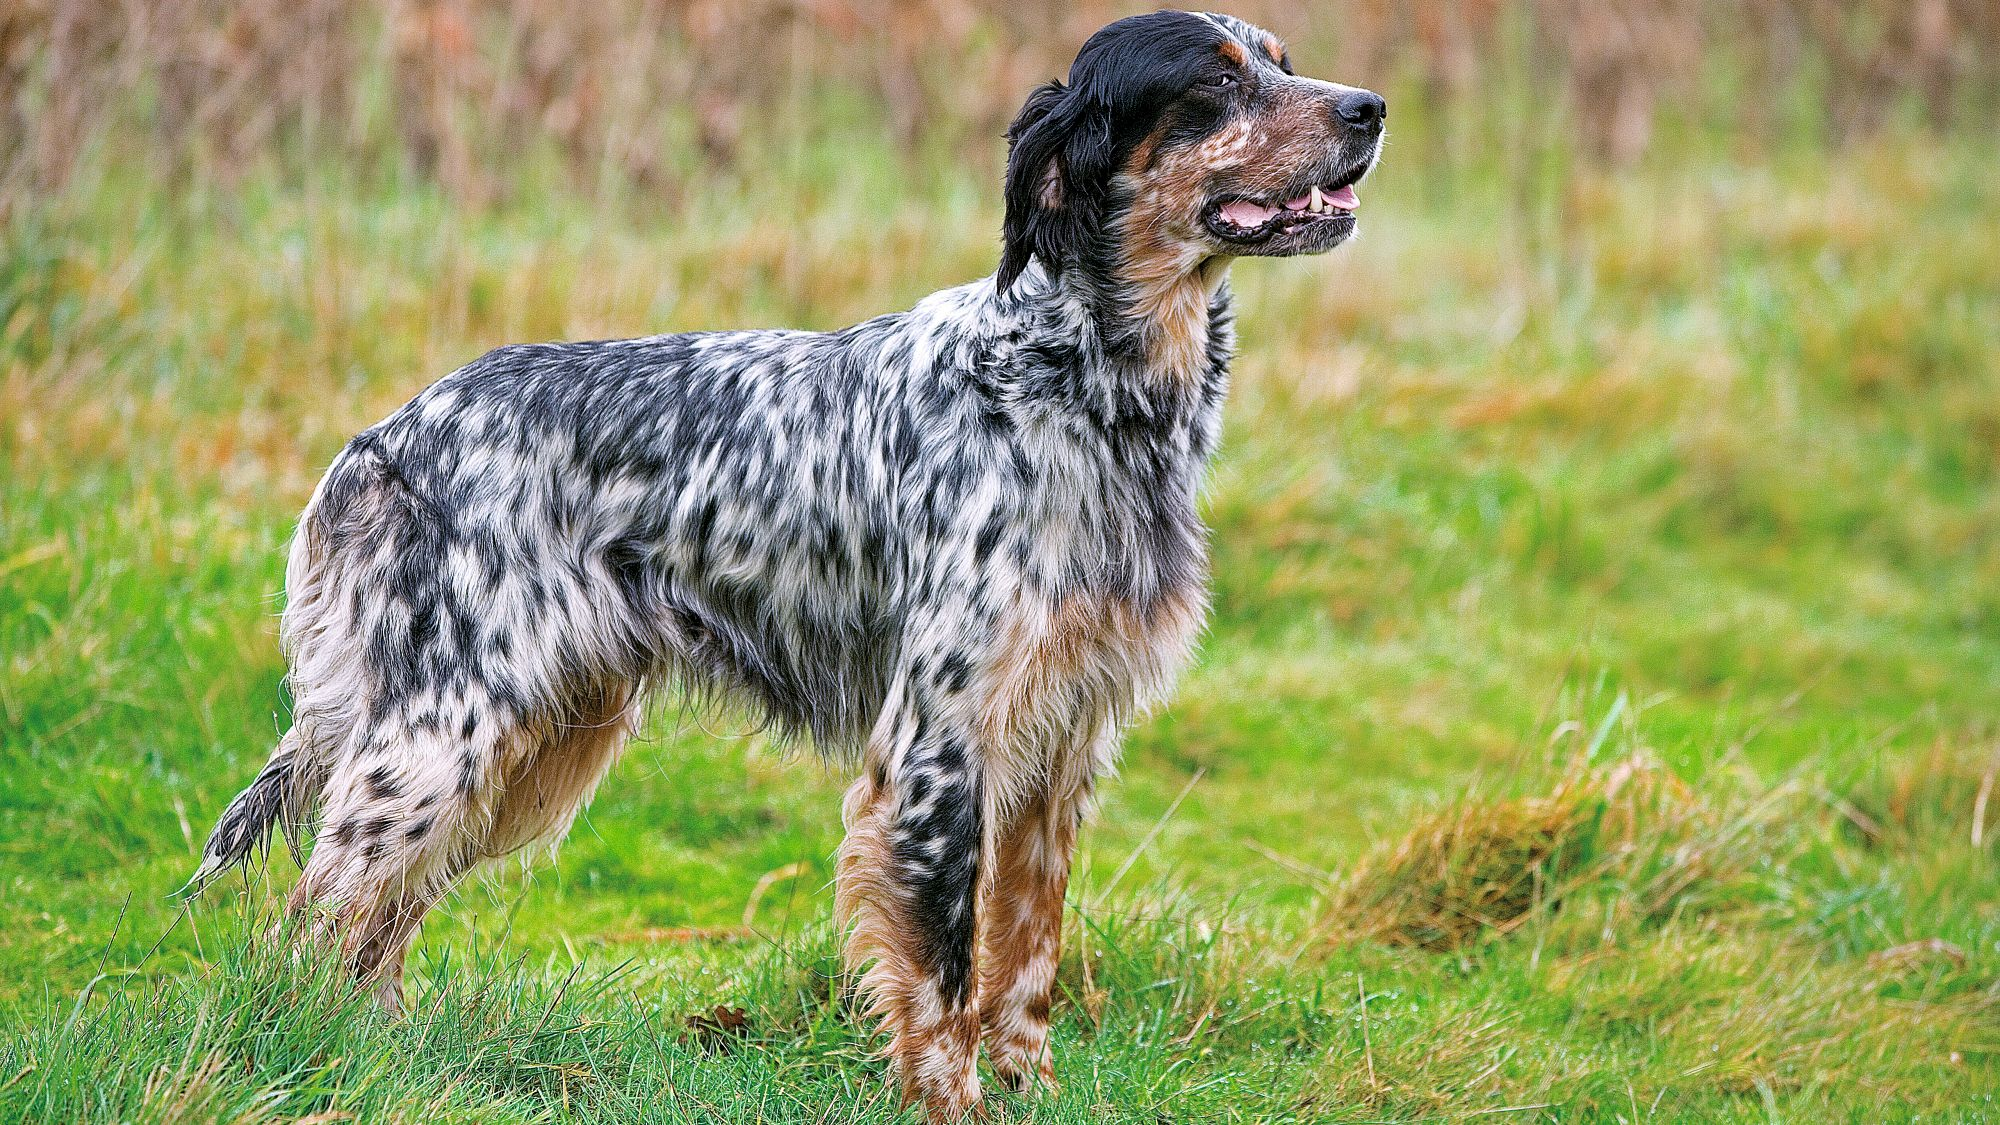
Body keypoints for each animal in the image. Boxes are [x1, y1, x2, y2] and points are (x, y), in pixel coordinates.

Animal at [195, 13, 1384, 1112]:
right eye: (1214, 84)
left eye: (1280, 59)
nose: (1368, 108)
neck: (1081, 385)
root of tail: (379, 441)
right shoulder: (937, 746)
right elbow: (945, 975)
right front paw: (952, 1103)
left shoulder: (1060, 745)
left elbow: (1026, 960)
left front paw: (1029, 1087)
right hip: (441, 741)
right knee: (315, 923)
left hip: (525, 747)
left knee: (373, 928)